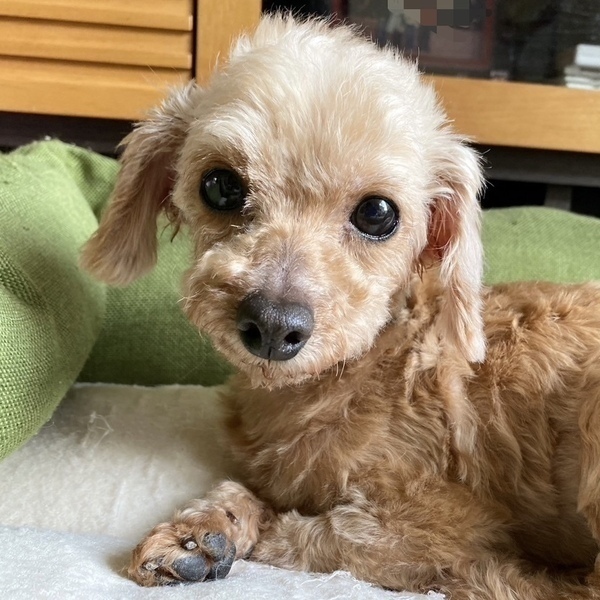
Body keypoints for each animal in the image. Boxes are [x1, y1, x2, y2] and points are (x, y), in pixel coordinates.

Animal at [81, 14, 600, 600]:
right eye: (219, 185)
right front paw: (203, 530)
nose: (272, 326)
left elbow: (321, 532)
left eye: (378, 213)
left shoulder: (434, 522)